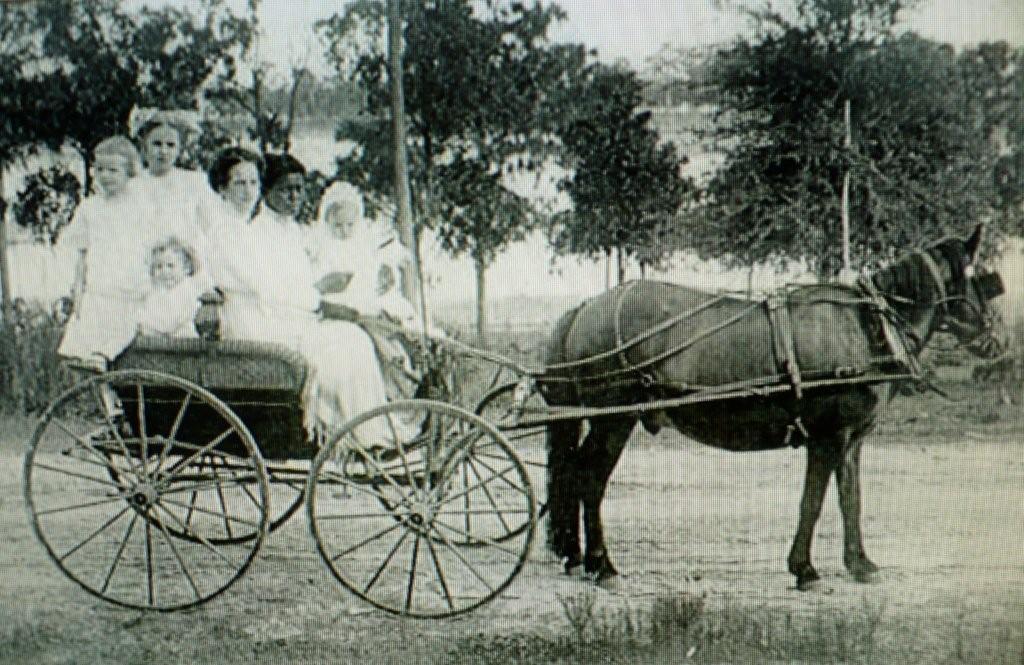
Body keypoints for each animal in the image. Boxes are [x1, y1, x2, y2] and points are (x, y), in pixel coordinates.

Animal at [540, 225, 1003, 590]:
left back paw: (574, 556)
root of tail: (585, 308)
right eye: (979, 278)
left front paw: (860, 564)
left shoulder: (851, 440)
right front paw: (805, 569)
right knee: (589, 480)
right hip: (614, 420)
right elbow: (812, 502)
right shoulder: (827, 437)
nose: (995, 341)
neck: (867, 326)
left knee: (572, 474)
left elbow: (851, 499)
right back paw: (601, 565)